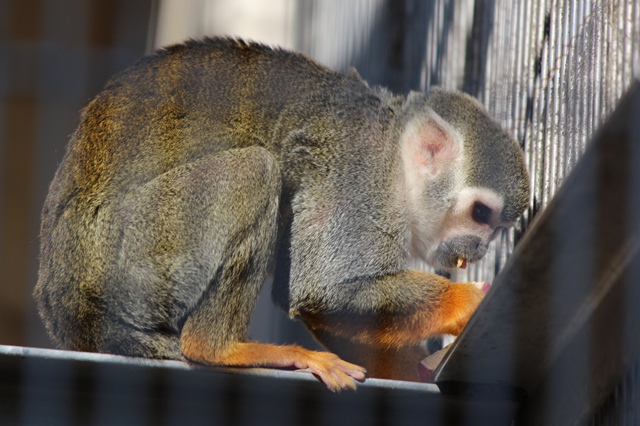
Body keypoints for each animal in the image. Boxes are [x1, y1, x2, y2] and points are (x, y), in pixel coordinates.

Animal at [32, 38, 528, 392]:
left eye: (498, 227)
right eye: (480, 213)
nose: (480, 248)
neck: (393, 160)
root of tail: (61, 309)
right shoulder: (355, 178)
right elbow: (321, 290)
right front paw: (464, 303)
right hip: (124, 260)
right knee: (255, 169)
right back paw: (219, 348)